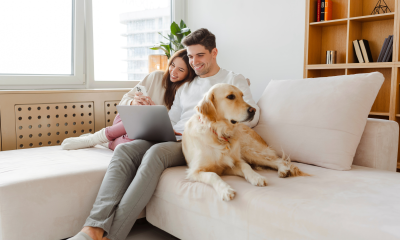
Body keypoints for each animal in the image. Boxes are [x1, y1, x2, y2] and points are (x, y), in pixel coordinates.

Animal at [182, 83, 310, 202]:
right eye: (230, 96)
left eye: (242, 96)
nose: (253, 110)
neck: (219, 133)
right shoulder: (195, 171)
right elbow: (213, 175)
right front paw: (225, 190)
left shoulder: (234, 162)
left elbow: (245, 166)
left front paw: (256, 177)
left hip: (249, 151)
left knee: (277, 160)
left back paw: (283, 169)